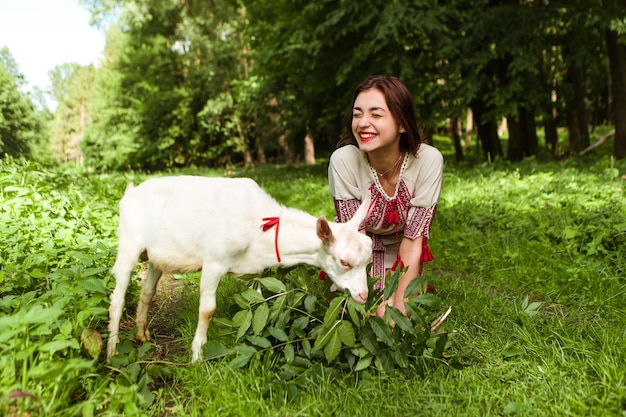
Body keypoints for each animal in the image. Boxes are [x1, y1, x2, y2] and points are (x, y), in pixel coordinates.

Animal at [106, 176, 370, 360]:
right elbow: (207, 310)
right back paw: (112, 351)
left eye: (368, 258)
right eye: (344, 261)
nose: (363, 295)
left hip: (155, 256)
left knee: (147, 291)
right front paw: (197, 356)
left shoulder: (254, 270)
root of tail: (130, 192)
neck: (259, 226)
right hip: (129, 244)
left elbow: (259, 299)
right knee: (117, 297)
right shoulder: (214, 261)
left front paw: (255, 340)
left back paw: (142, 334)